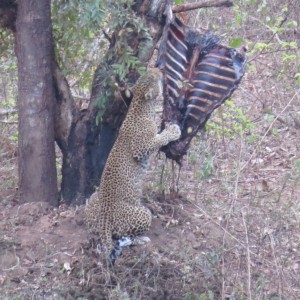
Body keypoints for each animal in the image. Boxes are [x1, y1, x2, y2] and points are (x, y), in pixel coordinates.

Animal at [85, 67, 182, 262]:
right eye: (155, 77)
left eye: (150, 72)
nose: (160, 69)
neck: (141, 106)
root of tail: (104, 219)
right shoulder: (141, 148)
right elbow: (159, 138)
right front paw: (173, 130)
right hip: (142, 214)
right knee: (122, 237)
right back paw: (142, 239)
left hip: (92, 202)